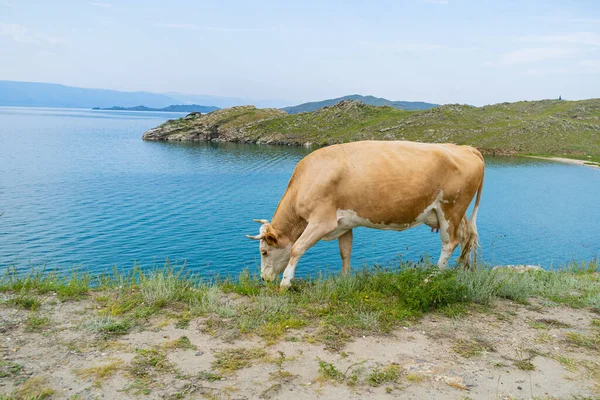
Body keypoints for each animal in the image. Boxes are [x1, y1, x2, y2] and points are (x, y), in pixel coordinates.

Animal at [246, 140, 486, 288]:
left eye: (264, 252)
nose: (263, 278)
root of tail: (466, 148)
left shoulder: (321, 222)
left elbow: (296, 249)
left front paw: (285, 283)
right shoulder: (343, 224)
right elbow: (345, 252)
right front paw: (344, 280)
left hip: (450, 209)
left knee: (450, 243)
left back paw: (431, 278)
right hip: (455, 213)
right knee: (465, 238)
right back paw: (462, 270)